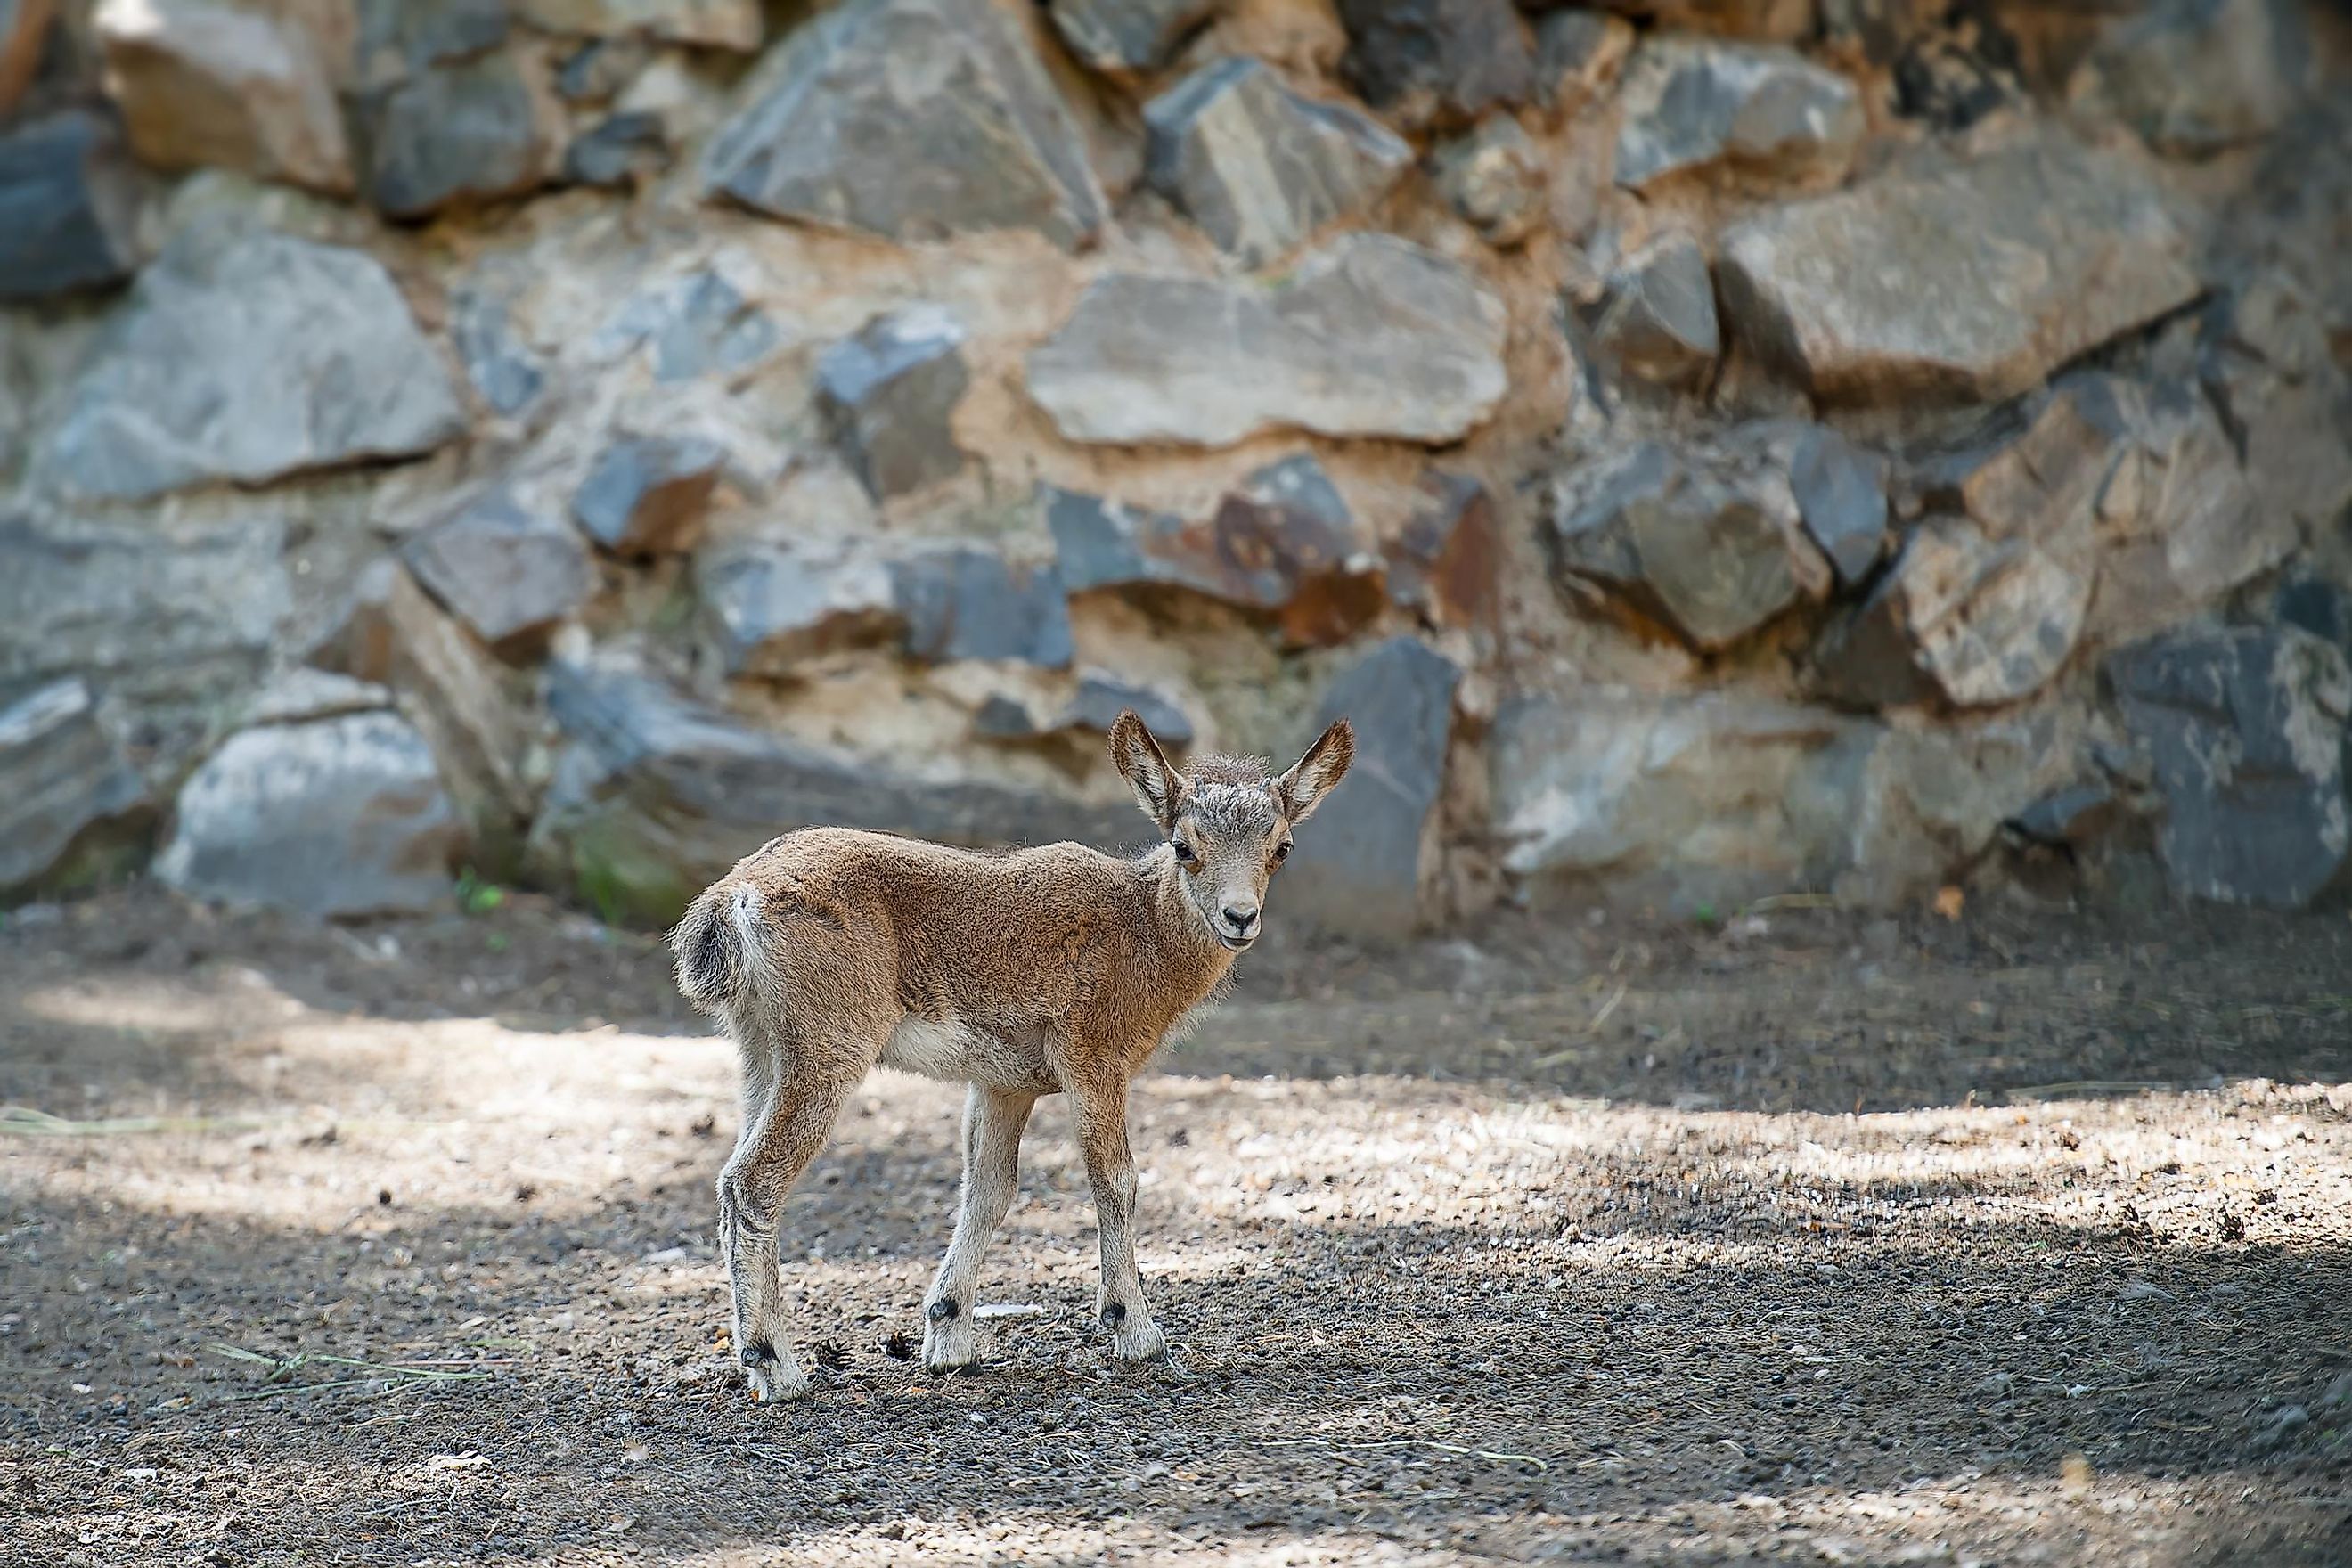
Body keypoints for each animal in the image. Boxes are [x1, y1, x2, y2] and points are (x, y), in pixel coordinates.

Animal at [673, 709, 1354, 1401]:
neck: (1143, 937)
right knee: (754, 1183)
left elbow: (990, 1188)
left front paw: (948, 1340)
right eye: (1184, 845)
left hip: (761, 1048)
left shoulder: (1006, 1083)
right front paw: (1138, 1334)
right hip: (829, 1046)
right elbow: (1117, 1178)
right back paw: (776, 1366)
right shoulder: (1094, 1058)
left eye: (1282, 847)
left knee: (731, 1177)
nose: (1240, 917)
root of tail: (732, 903)